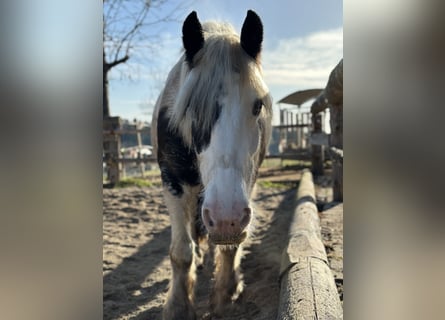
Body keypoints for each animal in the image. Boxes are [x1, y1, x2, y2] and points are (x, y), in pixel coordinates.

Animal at [151, 10, 272, 320]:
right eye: (190, 108)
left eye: (257, 106)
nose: (226, 218)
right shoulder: (173, 182)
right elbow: (180, 251)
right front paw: (178, 306)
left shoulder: (248, 184)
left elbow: (230, 247)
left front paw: (226, 294)